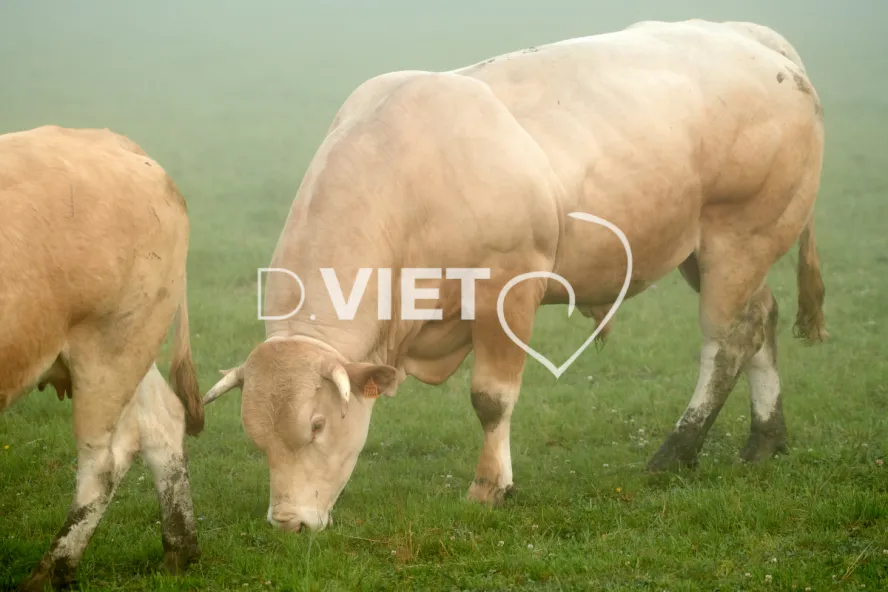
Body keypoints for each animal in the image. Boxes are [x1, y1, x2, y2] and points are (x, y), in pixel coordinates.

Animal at [0, 125, 204, 591]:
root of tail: (111, 141)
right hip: (133, 340)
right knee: (163, 420)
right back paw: (180, 550)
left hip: (106, 350)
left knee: (103, 463)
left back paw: (51, 571)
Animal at [201, 18, 827, 534]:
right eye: (255, 438)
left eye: (315, 426)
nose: (288, 523)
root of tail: (751, 36)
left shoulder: (508, 290)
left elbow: (491, 399)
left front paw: (489, 486)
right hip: (715, 251)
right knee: (761, 319)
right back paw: (765, 439)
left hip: (739, 237)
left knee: (726, 344)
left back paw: (678, 450)